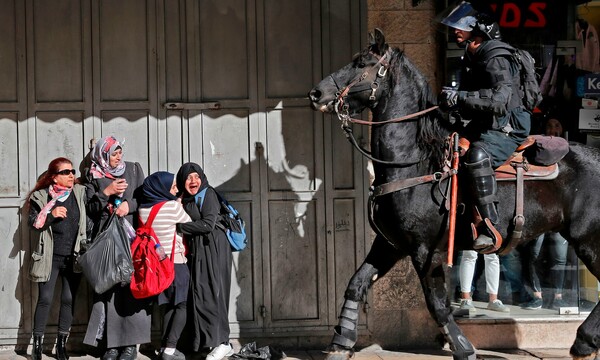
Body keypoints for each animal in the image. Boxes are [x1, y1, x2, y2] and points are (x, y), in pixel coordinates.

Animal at [310, 28, 600, 360]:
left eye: (361, 63)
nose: (316, 94)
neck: (412, 162)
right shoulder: (390, 243)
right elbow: (356, 284)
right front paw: (340, 343)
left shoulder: (426, 251)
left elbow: (437, 304)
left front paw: (463, 347)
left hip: (589, 240)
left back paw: (584, 342)